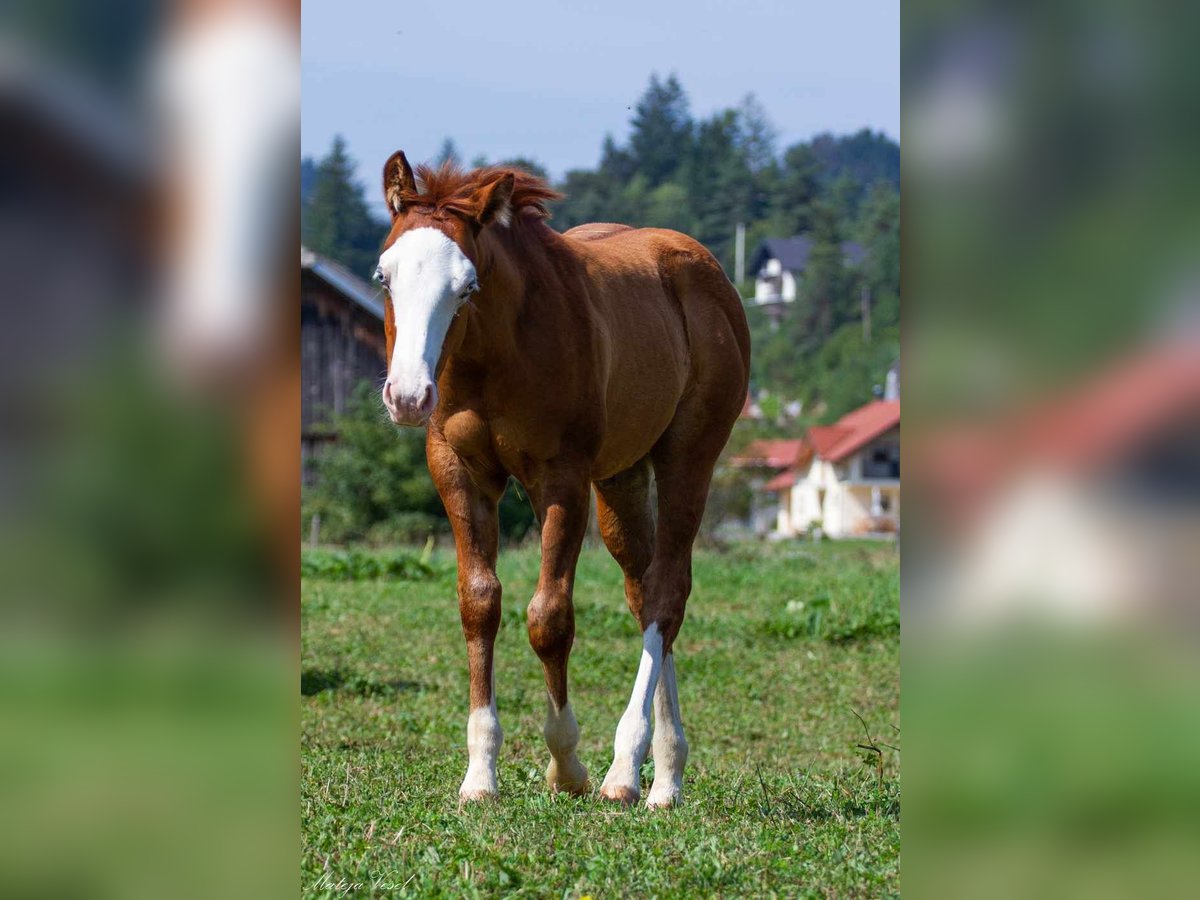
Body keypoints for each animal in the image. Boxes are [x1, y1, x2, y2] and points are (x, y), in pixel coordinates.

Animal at [376, 151, 748, 806]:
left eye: (467, 286)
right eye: (383, 278)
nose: (409, 397)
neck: (493, 356)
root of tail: (709, 272)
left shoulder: (562, 481)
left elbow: (549, 618)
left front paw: (566, 764)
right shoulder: (458, 472)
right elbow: (479, 603)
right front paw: (480, 774)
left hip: (689, 455)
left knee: (669, 591)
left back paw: (628, 769)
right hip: (622, 476)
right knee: (644, 590)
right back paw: (666, 770)